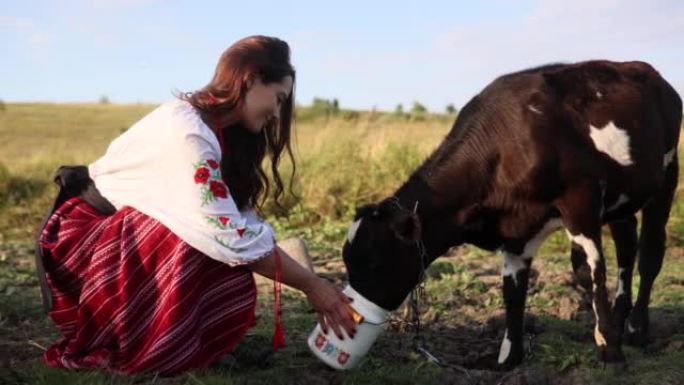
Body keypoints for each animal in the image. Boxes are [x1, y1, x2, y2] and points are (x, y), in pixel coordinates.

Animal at [344, 59, 680, 366]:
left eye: (374, 262)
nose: (353, 316)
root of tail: (648, 71)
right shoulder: (516, 228)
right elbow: (512, 288)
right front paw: (508, 359)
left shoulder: (581, 199)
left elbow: (589, 270)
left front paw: (610, 350)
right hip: (622, 198)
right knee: (626, 245)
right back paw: (622, 317)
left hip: (666, 175)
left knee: (650, 252)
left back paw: (636, 329)